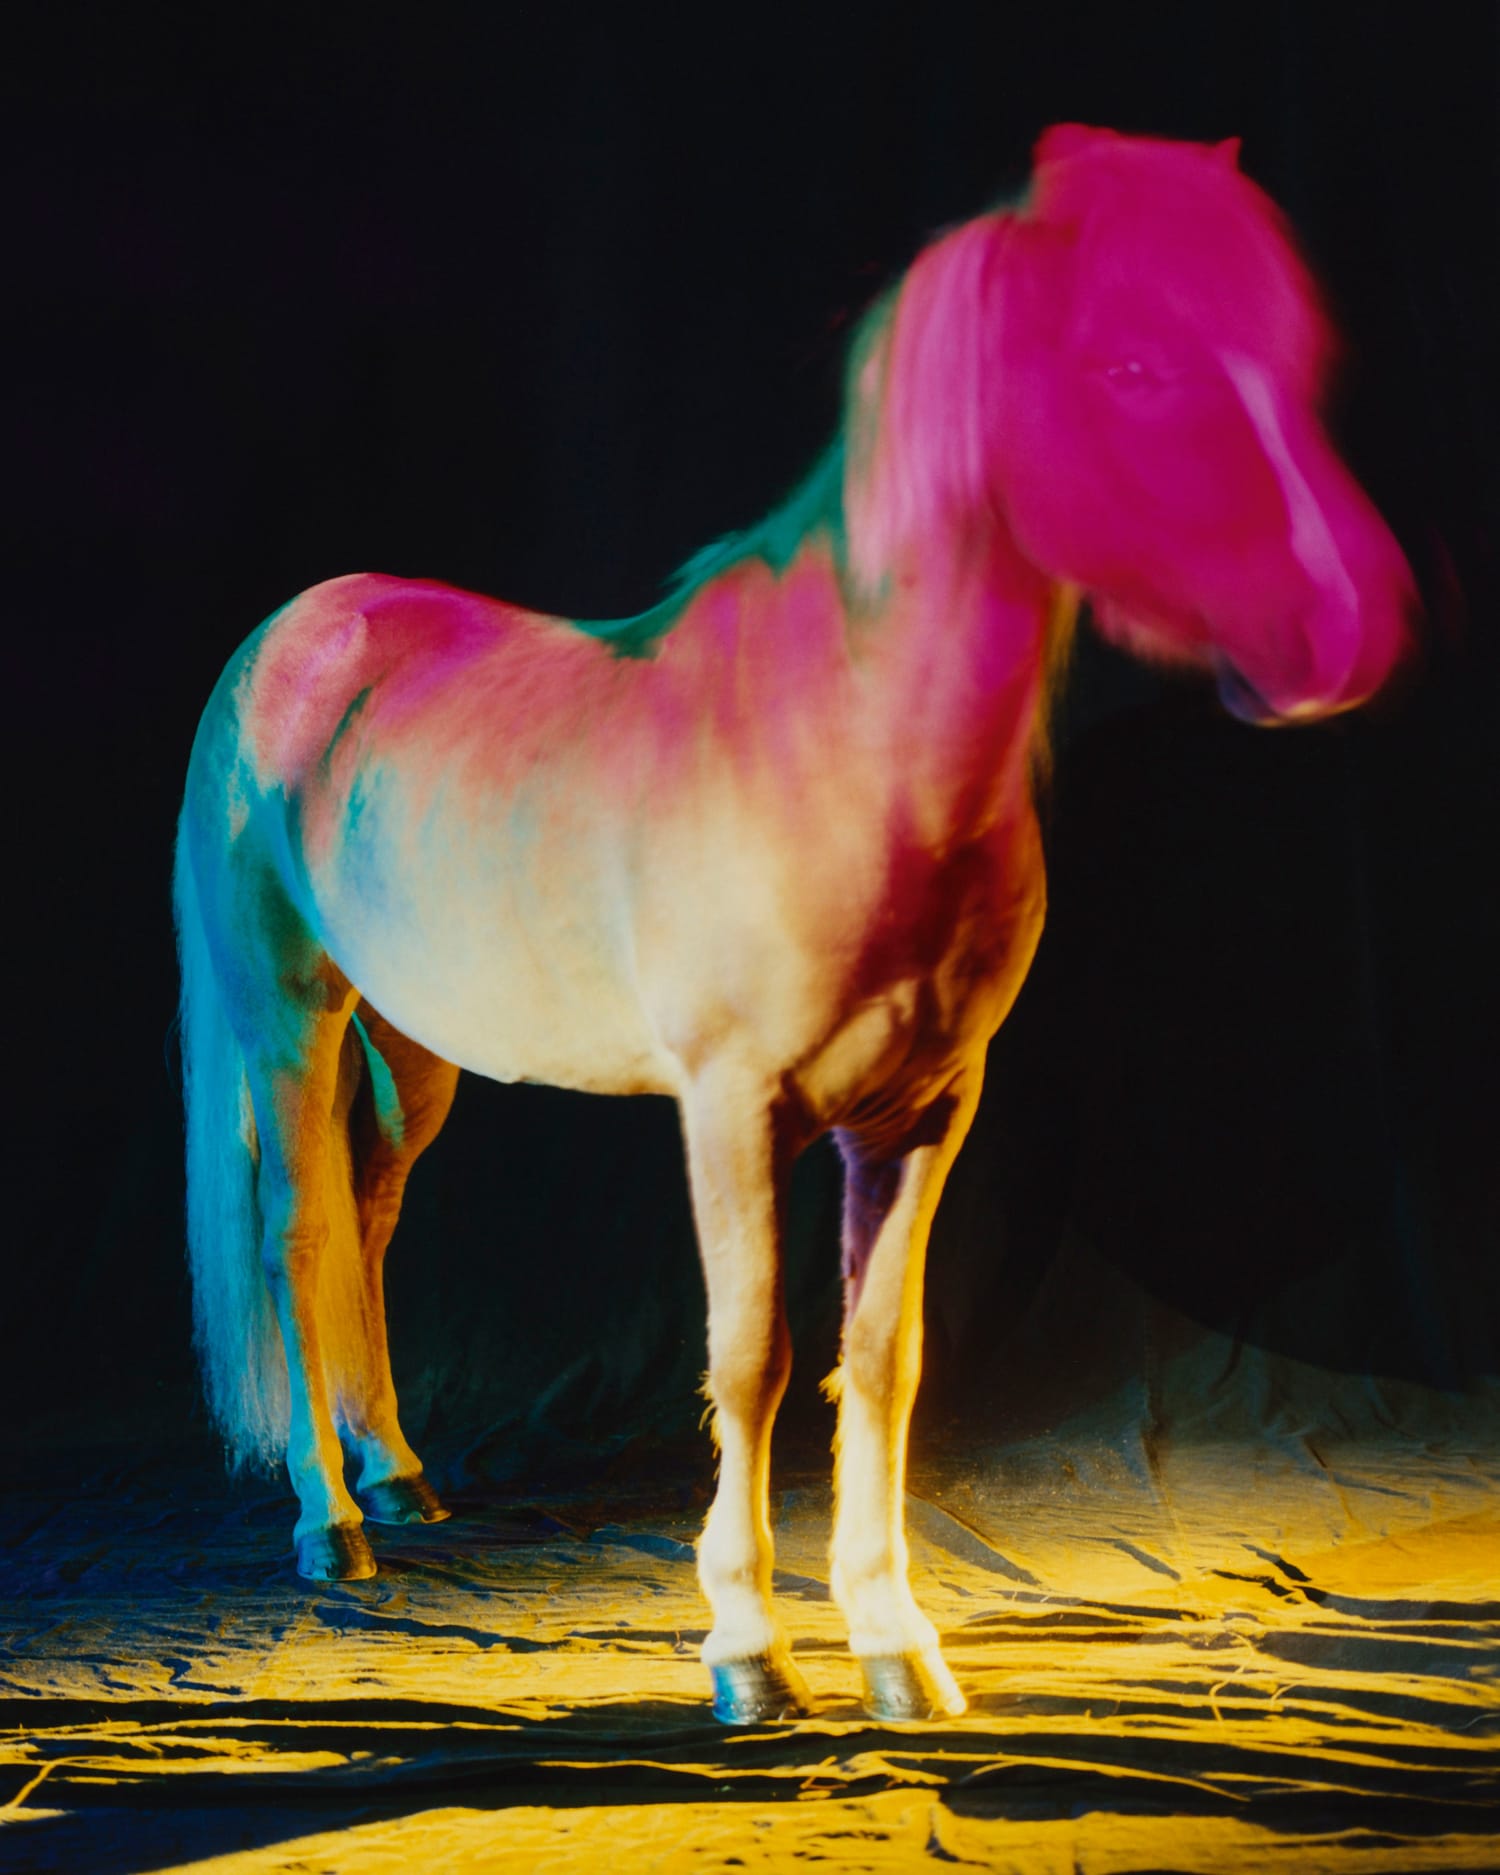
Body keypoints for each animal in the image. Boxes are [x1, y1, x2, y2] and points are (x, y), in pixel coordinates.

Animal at [176, 124, 1417, 1717]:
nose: (1350, 625)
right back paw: (331, 1527)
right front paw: (748, 1648)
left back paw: (398, 1474)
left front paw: (895, 1643)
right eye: (1136, 365)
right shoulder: (730, 1107)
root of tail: (293, 634)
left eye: (1294, 352)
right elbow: (752, 1353)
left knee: (370, 1217)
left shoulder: (924, 1110)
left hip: (418, 1046)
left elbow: (884, 1357)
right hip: (291, 1016)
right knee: (296, 1233)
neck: (842, 756)